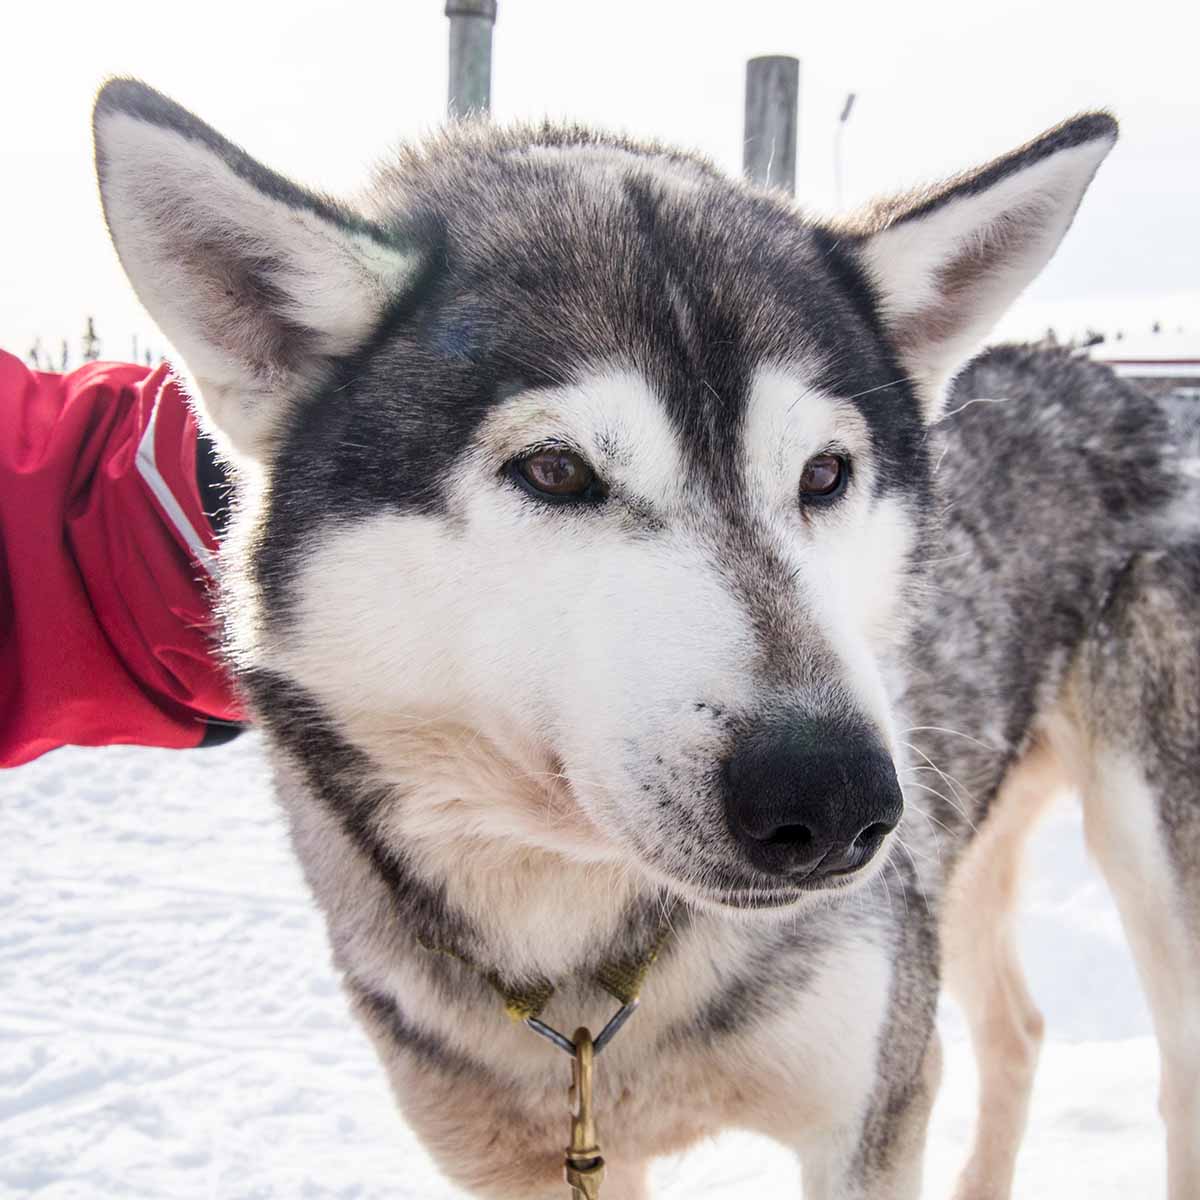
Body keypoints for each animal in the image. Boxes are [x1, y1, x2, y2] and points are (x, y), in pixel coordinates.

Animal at [93, 77, 1200, 1200]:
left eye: (825, 474)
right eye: (554, 471)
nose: (833, 799)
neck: (586, 963)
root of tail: (1124, 386)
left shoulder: (867, 1110)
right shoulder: (545, 1163)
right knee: (1017, 1027)